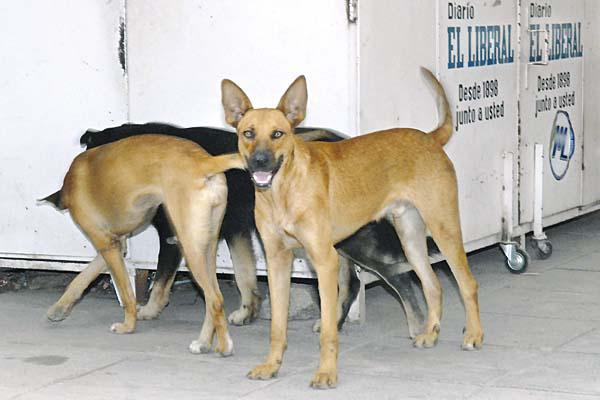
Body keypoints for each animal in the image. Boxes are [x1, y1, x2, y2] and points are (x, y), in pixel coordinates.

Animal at [41, 135, 244, 356]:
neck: (70, 185)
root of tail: (204, 161)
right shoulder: (116, 244)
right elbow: (82, 277)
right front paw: (60, 308)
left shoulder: (106, 245)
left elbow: (126, 294)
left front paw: (128, 326)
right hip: (206, 249)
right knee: (212, 298)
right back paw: (204, 342)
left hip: (192, 251)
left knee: (215, 299)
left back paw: (223, 347)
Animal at [81, 122, 426, 334]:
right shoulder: (237, 232)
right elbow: (244, 274)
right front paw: (248, 312)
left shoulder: (174, 237)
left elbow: (163, 280)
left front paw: (149, 310)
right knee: (351, 282)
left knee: (373, 278)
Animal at [223, 68, 486, 388]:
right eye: (248, 133)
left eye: (278, 134)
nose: (260, 161)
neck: (284, 192)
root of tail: (429, 137)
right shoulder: (276, 262)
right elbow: (278, 326)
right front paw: (272, 366)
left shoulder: (325, 262)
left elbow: (328, 329)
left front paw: (326, 373)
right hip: (410, 238)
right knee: (432, 284)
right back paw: (430, 333)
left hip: (443, 228)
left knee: (467, 283)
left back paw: (474, 335)